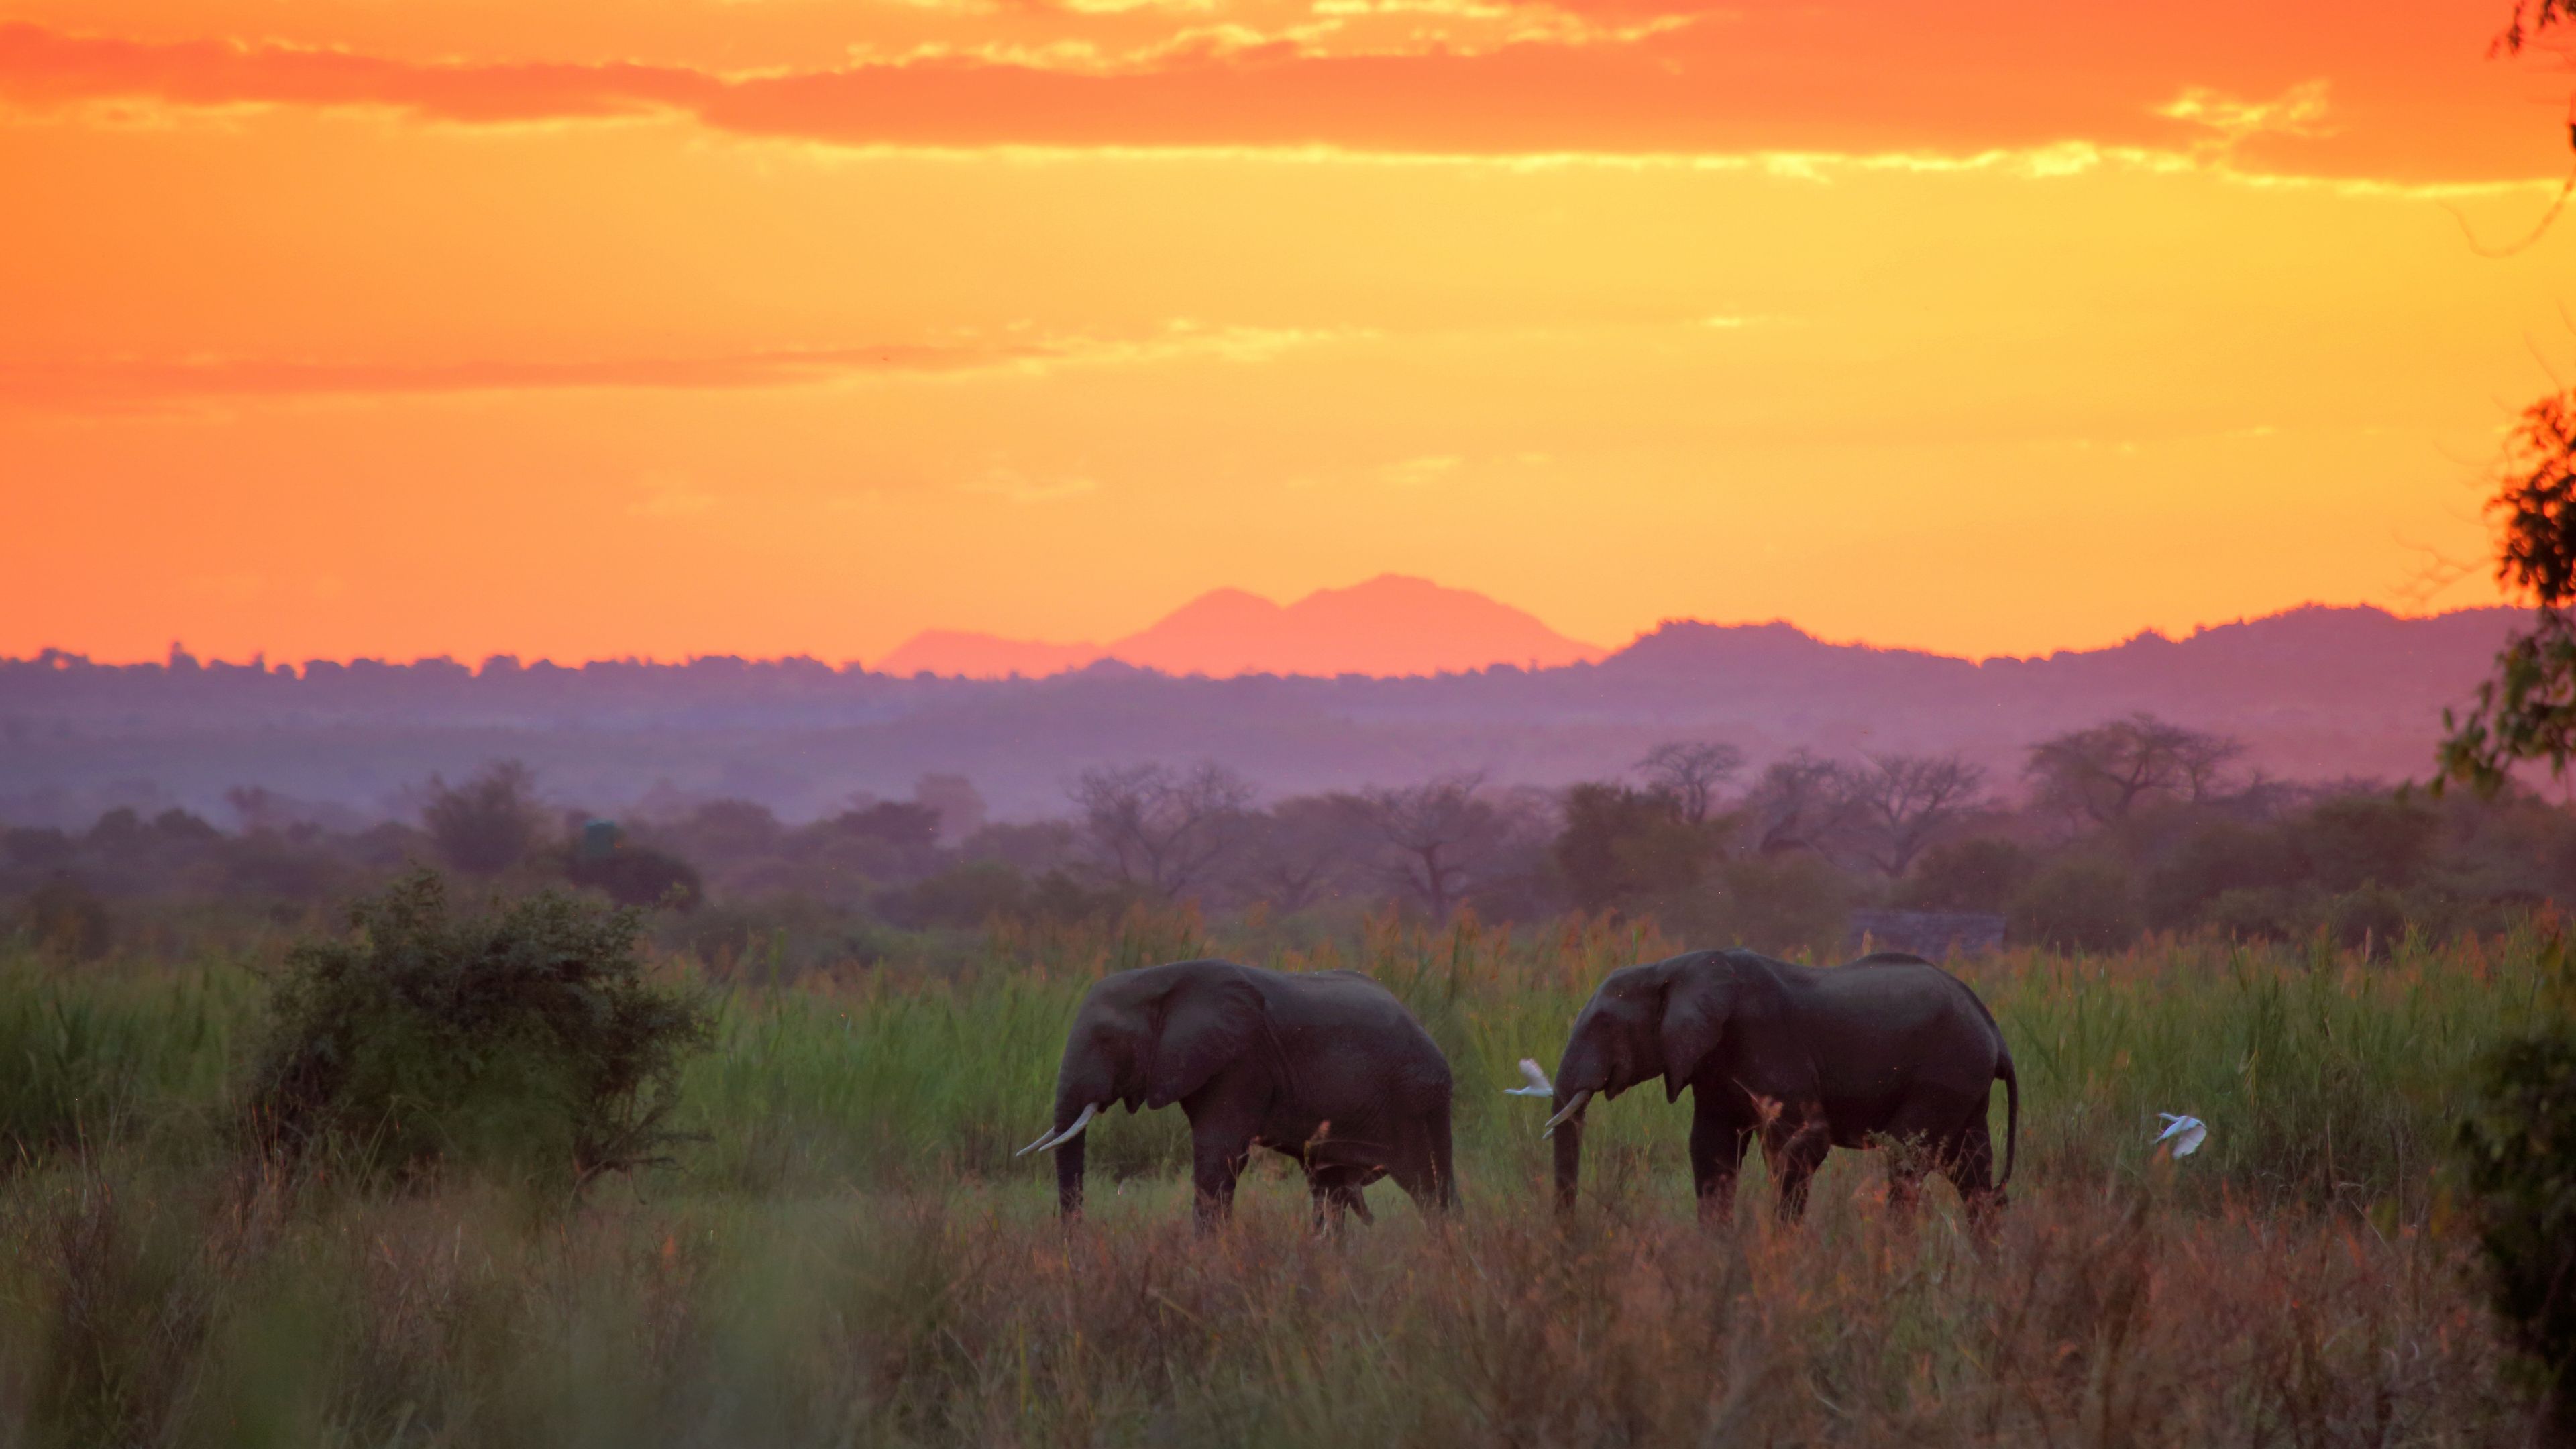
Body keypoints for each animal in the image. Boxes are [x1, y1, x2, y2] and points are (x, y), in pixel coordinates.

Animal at [1020, 954, 1463, 1222]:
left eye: (1107, 1040)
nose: (1075, 1256)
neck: (1162, 977)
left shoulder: (1243, 1062)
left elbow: (1218, 1155)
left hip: (1420, 1100)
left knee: (1432, 1190)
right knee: (1330, 1190)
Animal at [1535, 943, 2019, 1222]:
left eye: (1603, 1023)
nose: (1569, 1242)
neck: (1669, 968)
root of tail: (1996, 1032)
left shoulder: (1765, 1038)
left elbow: (1805, 1141)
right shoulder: (1710, 1064)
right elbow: (1711, 1148)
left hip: (1945, 1075)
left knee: (1905, 1166)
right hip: (1965, 1086)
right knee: (1973, 1177)